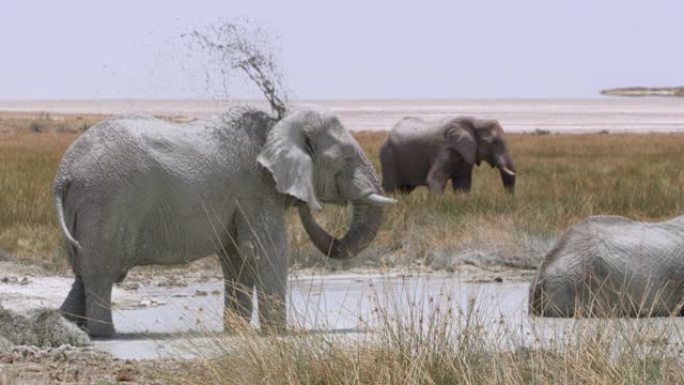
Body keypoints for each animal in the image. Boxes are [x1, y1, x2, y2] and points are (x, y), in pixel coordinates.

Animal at [53, 106, 396, 336]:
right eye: (346, 158)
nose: (307, 205)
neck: (279, 122)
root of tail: (64, 174)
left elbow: (237, 257)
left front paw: (237, 333)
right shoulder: (255, 188)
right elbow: (264, 250)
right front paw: (279, 335)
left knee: (84, 273)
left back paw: (69, 326)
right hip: (106, 203)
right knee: (101, 273)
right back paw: (105, 335)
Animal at [376, 115, 516, 194]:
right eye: (495, 143)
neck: (476, 121)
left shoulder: (465, 153)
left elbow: (463, 183)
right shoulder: (442, 150)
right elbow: (435, 180)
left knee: (405, 190)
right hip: (388, 157)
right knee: (391, 188)